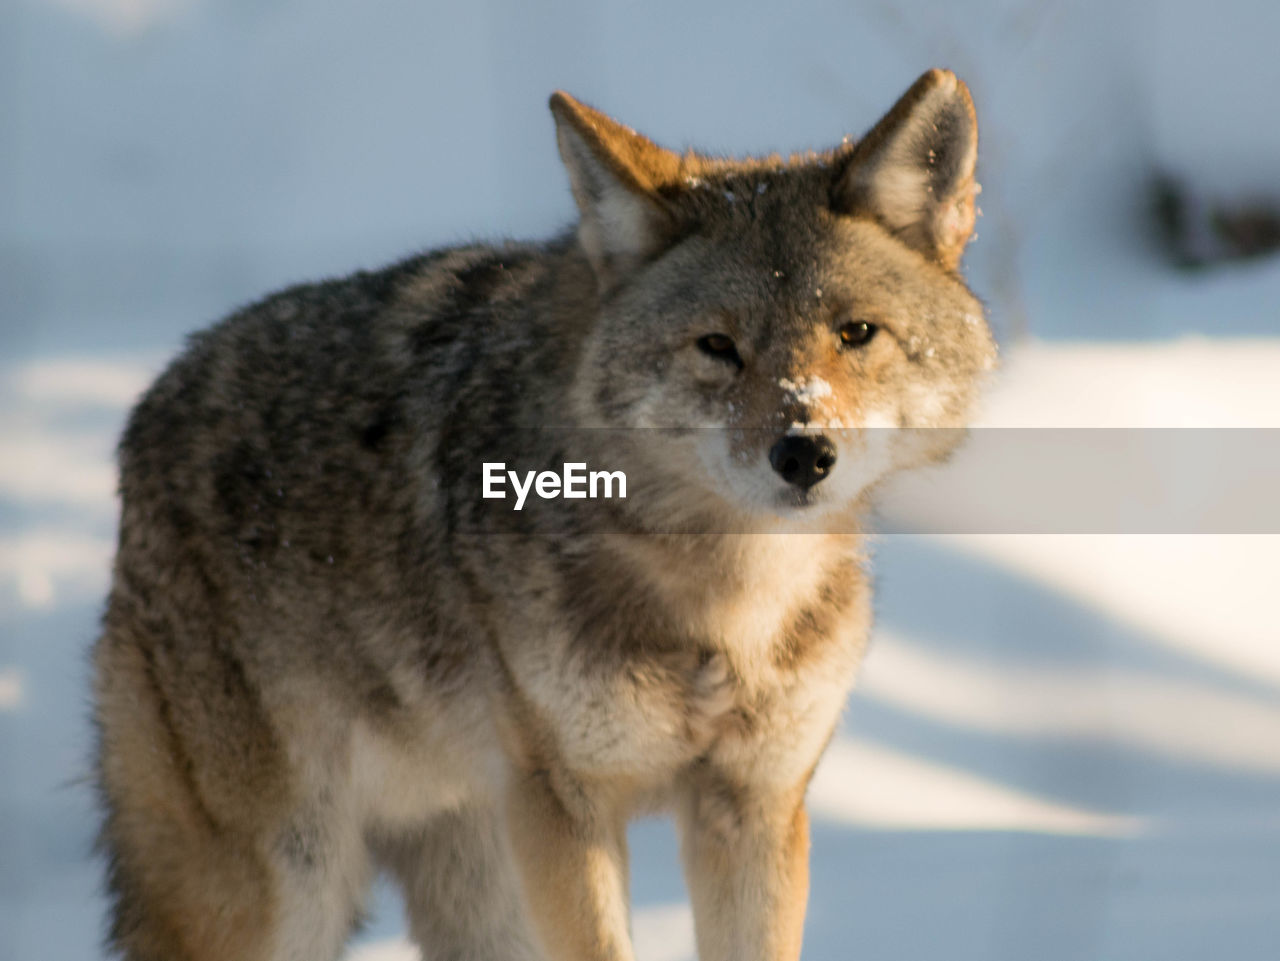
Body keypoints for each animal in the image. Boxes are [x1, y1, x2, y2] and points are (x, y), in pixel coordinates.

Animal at [94, 69, 998, 961]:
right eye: (717, 347)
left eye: (856, 333)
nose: (804, 453)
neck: (721, 607)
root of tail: (147, 410)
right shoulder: (565, 804)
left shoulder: (752, 807)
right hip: (286, 884)